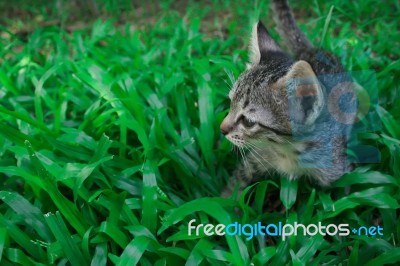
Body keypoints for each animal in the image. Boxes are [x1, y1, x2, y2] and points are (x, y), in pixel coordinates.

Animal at [222, 0, 356, 196]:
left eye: (248, 122)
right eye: (231, 102)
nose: (221, 129)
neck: (289, 151)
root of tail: (310, 49)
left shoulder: (339, 171)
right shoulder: (255, 160)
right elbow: (233, 188)